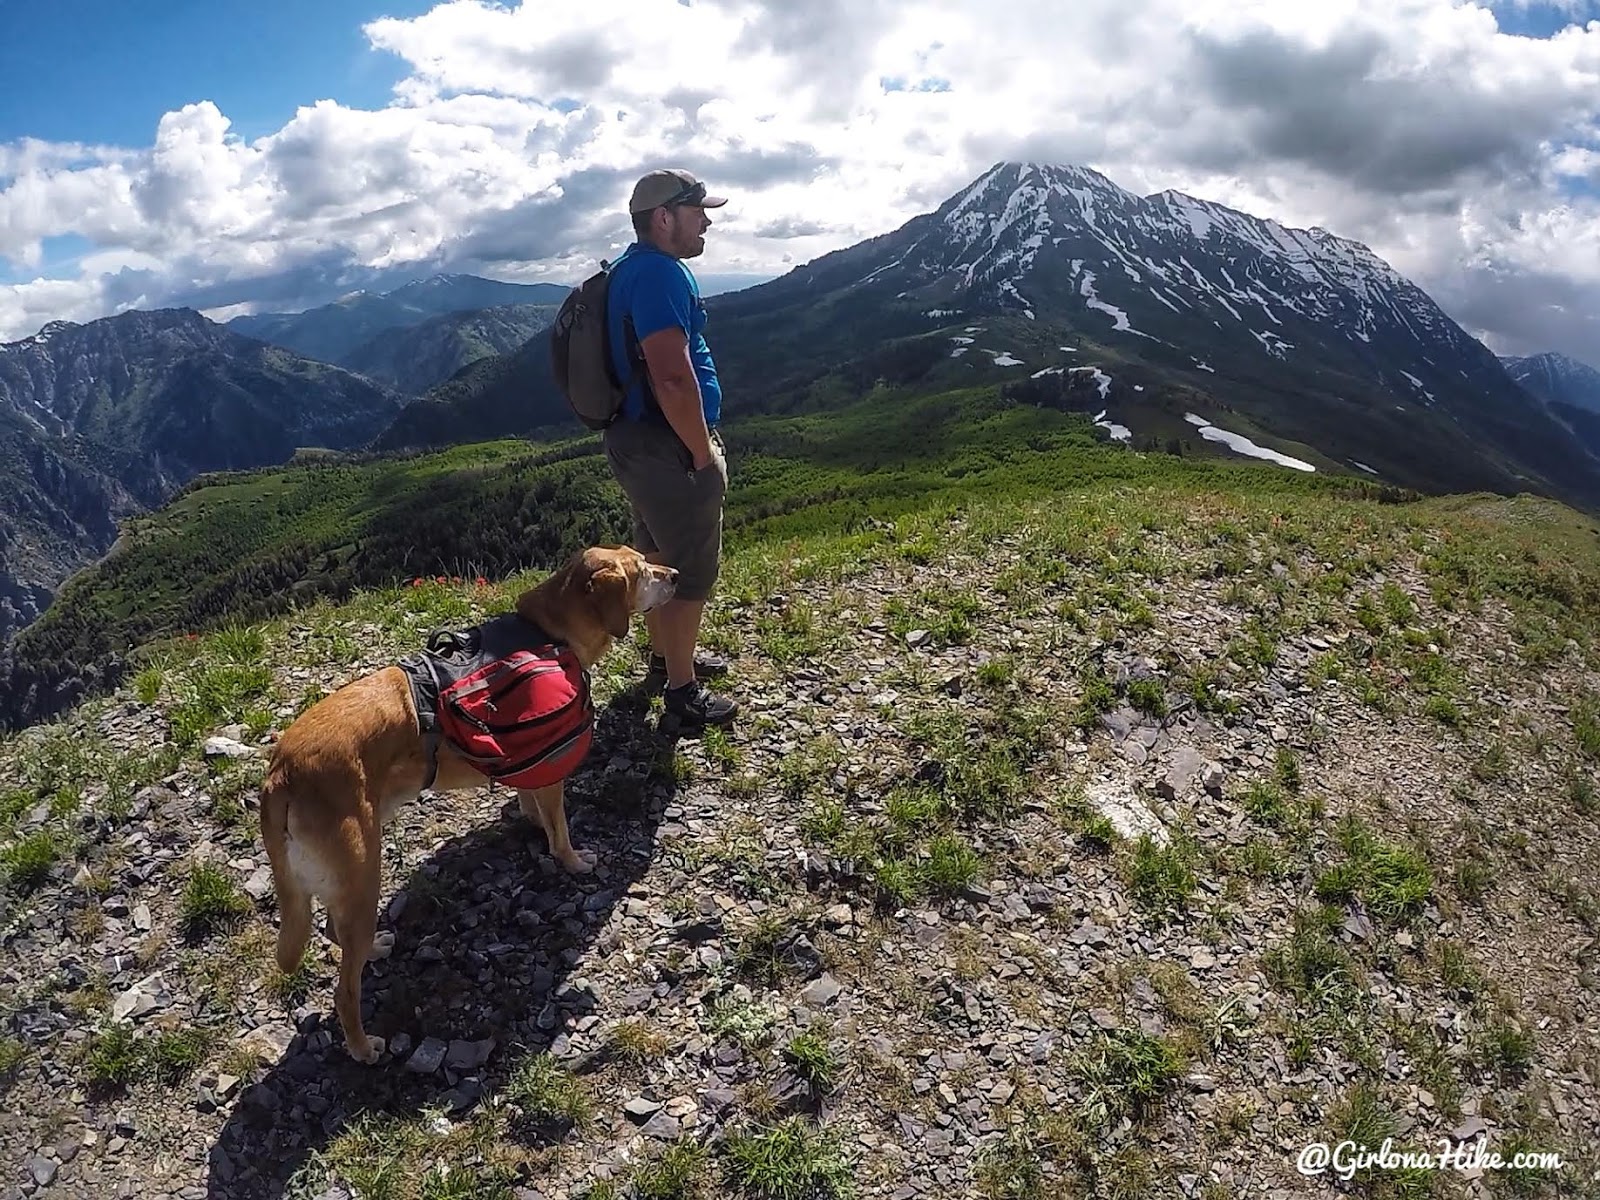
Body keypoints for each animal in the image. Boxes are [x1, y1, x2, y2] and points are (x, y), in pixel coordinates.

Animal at [257, 544, 681, 1062]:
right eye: (642, 572)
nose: (676, 574)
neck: (550, 631)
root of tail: (281, 772)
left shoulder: (527, 759)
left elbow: (531, 801)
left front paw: (531, 821)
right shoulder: (552, 766)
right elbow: (559, 828)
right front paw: (573, 861)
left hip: (349, 888)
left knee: (339, 936)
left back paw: (376, 948)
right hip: (361, 874)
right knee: (344, 989)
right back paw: (362, 1047)